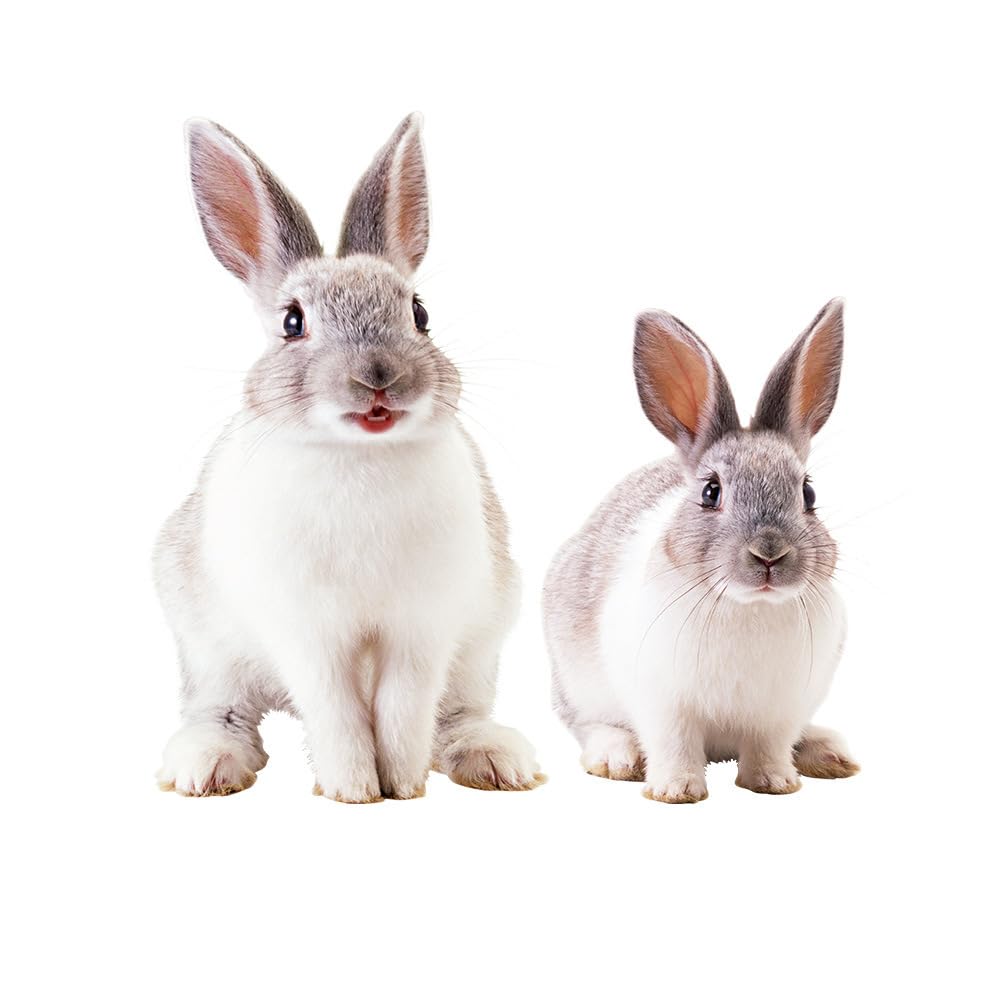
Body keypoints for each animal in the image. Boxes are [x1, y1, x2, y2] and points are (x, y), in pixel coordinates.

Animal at [155, 114, 542, 802]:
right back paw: (206, 765)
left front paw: (402, 788)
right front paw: (354, 791)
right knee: (221, 710)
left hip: (481, 646)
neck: (361, 455)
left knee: (456, 714)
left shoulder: (421, 631)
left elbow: (402, 712)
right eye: (292, 322)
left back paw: (496, 759)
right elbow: (338, 713)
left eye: (419, 313)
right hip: (209, 648)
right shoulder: (309, 635)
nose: (378, 378)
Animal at [543, 300, 859, 803]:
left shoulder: (781, 710)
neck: (749, 606)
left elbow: (769, 746)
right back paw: (616, 757)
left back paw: (828, 753)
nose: (769, 555)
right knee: (591, 725)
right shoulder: (663, 702)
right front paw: (676, 790)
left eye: (808, 493)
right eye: (711, 492)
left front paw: (775, 783)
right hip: (578, 685)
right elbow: (673, 743)